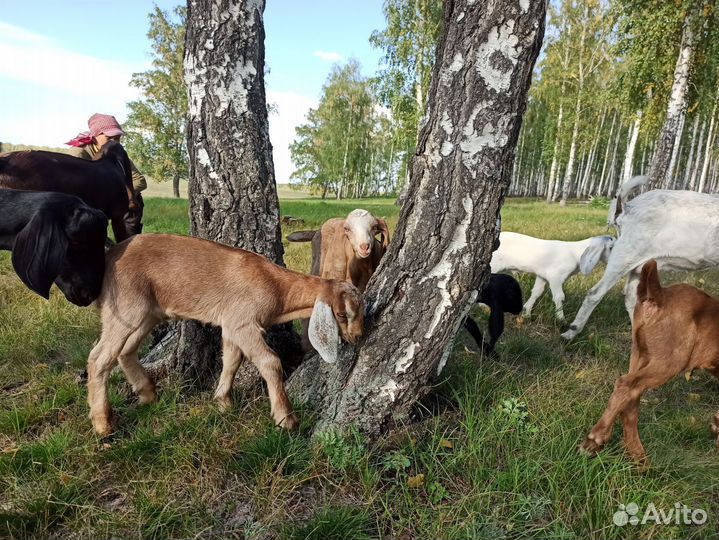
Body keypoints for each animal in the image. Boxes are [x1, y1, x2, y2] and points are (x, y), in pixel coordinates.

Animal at [86, 233, 364, 436]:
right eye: (341, 315)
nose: (358, 336)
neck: (275, 286)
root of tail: (110, 257)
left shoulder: (231, 326)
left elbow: (231, 362)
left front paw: (223, 402)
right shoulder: (243, 322)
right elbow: (270, 361)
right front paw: (286, 418)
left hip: (147, 314)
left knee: (124, 352)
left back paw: (147, 394)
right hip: (125, 309)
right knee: (98, 358)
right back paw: (103, 425)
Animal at [562, 176, 719, 339]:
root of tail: (627, 207)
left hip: (637, 264)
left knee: (631, 297)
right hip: (624, 256)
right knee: (595, 293)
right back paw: (571, 332)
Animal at [580, 260, 719, 462]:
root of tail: (660, 295)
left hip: (640, 354)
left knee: (631, 401)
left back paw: (638, 456)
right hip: (670, 361)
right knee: (626, 386)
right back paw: (596, 439)